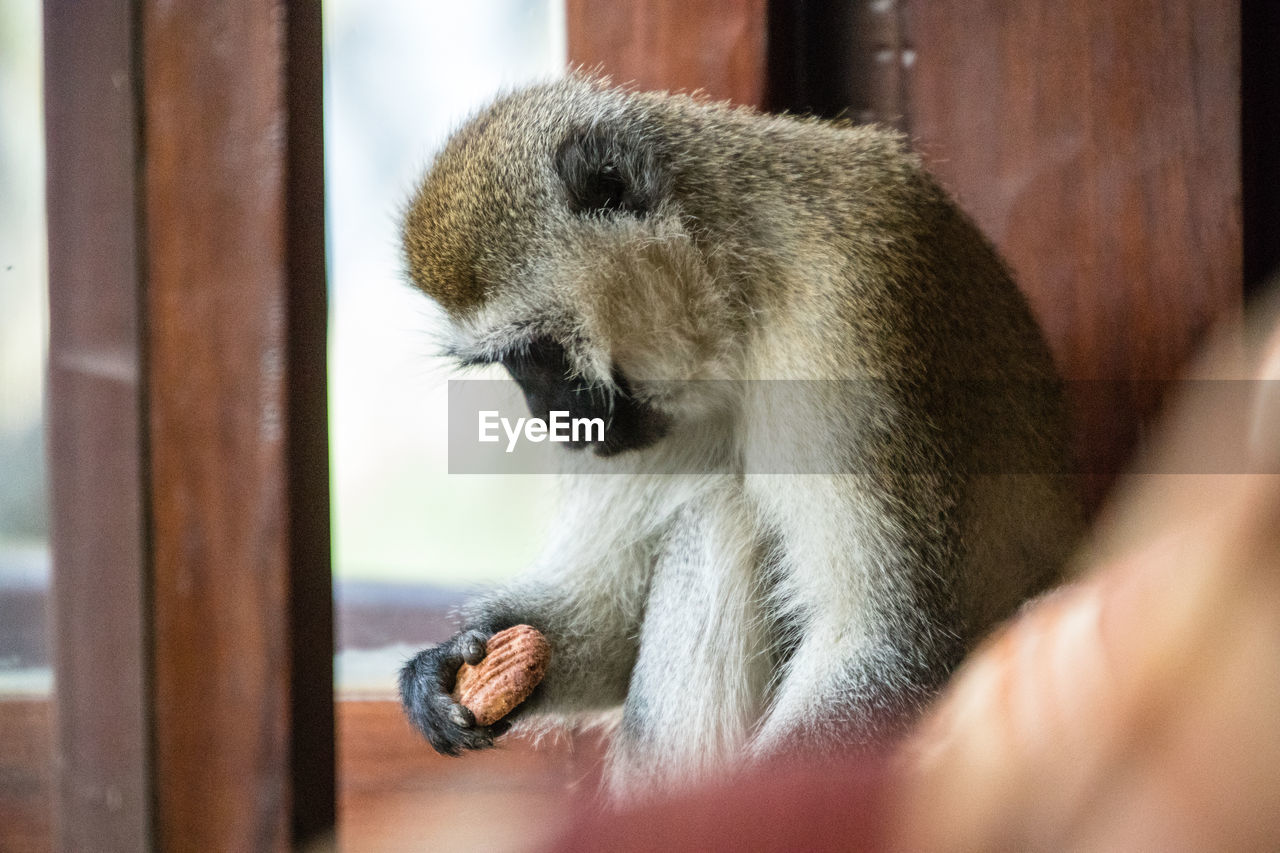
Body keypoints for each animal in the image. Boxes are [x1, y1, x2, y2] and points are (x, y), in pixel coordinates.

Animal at [396, 74, 1080, 799]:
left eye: (537, 353)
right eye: (512, 362)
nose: (546, 416)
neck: (738, 281)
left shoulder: (843, 314)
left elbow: (878, 639)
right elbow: (612, 619)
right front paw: (441, 667)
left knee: (719, 520)